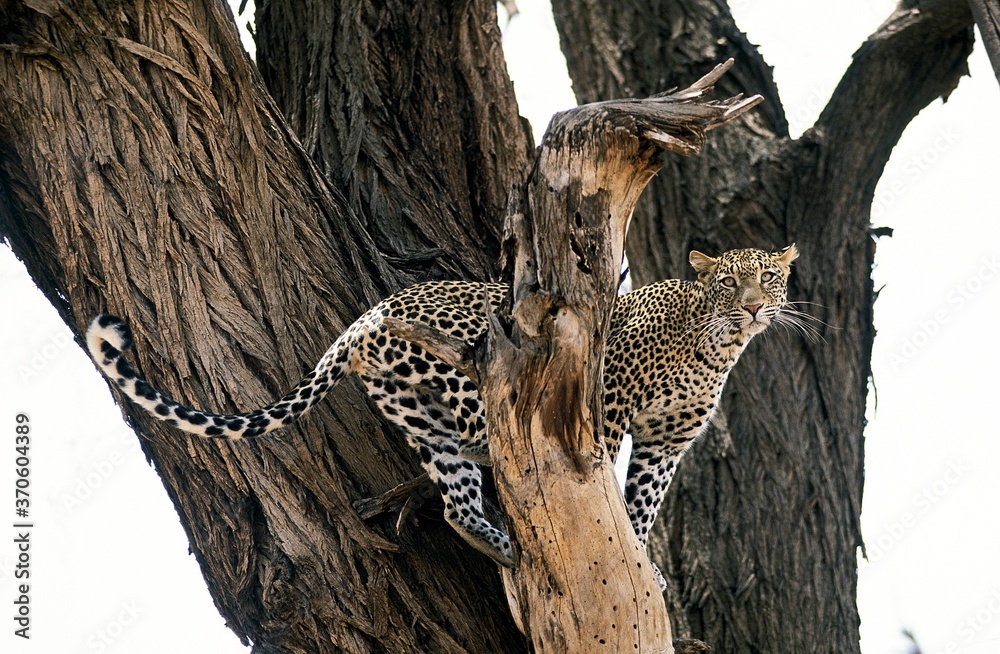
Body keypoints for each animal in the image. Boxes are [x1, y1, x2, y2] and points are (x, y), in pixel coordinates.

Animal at [85, 245, 799, 584]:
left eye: (770, 279)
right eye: (729, 283)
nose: (755, 308)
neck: (718, 347)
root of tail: (367, 316)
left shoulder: (665, 443)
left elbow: (646, 504)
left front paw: (643, 560)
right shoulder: (614, 406)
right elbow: (609, 487)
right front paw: (630, 547)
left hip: (413, 411)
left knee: (459, 496)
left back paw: (504, 546)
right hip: (470, 367)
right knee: (494, 441)